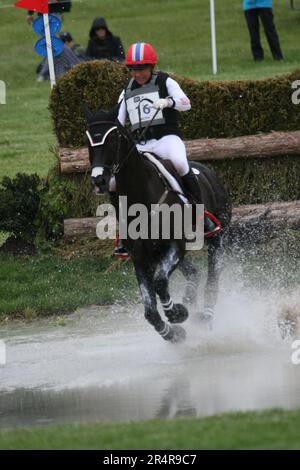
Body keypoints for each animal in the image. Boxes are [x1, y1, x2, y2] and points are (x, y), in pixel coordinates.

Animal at [84, 108, 232, 344]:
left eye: (114, 138)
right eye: (88, 139)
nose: (99, 180)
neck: (140, 196)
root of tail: (207, 171)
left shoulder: (175, 246)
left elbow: (160, 283)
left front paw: (177, 313)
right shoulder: (141, 257)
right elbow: (150, 309)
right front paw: (173, 333)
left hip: (216, 239)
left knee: (212, 278)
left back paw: (205, 316)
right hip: (162, 253)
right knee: (193, 273)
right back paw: (190, 299)